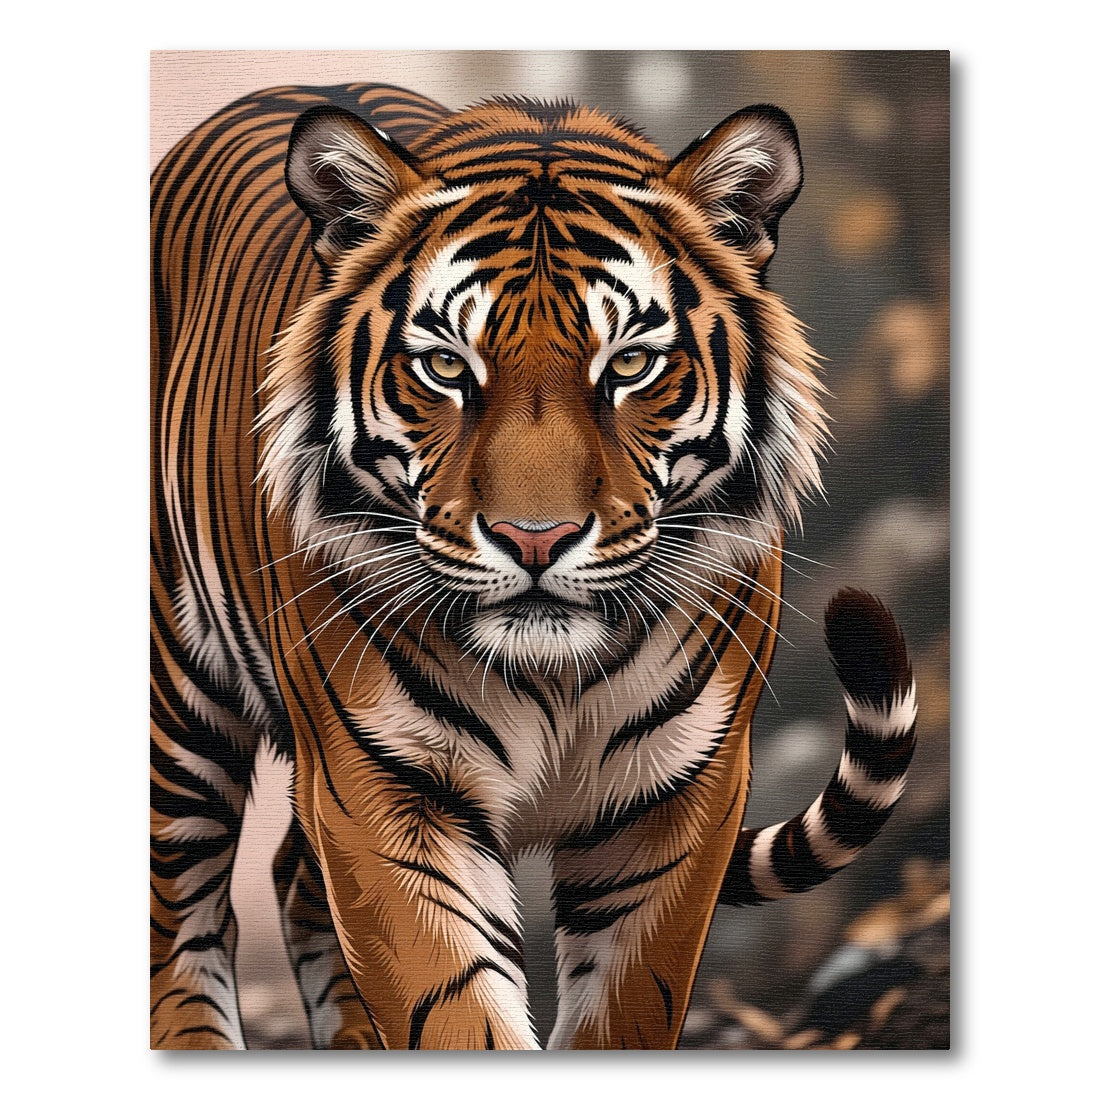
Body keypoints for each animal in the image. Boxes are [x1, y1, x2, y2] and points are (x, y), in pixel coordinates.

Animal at [150, 83, 918, 1050]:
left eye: (632, 364)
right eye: (446, 365)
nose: (536, 539)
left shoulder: (675, 799)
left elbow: (625, 1009)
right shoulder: (386, 789)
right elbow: (450, 1006)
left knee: (292, 873)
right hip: (179, 701)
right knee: (180, 912)